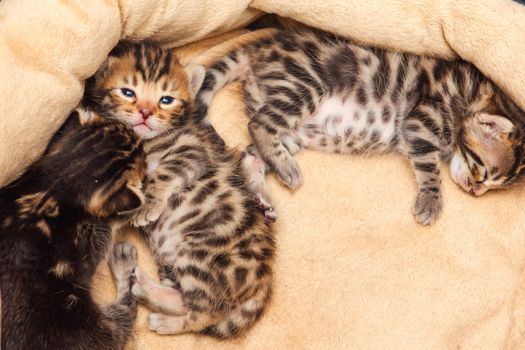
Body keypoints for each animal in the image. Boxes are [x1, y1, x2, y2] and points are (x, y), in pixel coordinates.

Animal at [0, 112, 145, 350]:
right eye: (142, 153)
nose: (141, 137)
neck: (54, 186)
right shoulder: (90, 241)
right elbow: (112, 224)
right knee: (126, 312)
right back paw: (123, 263)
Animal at [86, 42, 274, 338]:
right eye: (128, 92)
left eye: (166, 100)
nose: (145, 113)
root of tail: (262, 281)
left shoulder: (191, 150)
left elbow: (162, 174)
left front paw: (149, 204)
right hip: (170, 260)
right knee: (184, 298)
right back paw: (141, 283)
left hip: (198, 255)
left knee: (204, 314)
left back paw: (164, 320)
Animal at [195, 26, 524, 224]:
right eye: (480, 168)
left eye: (493, 187)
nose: (475, 191)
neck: (470, 94)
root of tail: (261, 48)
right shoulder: (422, 118)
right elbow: (429, 168)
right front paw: (431, 201)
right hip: (305, 84)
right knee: (259, 123)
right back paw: (288, 169)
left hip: (293, 131)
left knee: (251, 152)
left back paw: (264, 192)